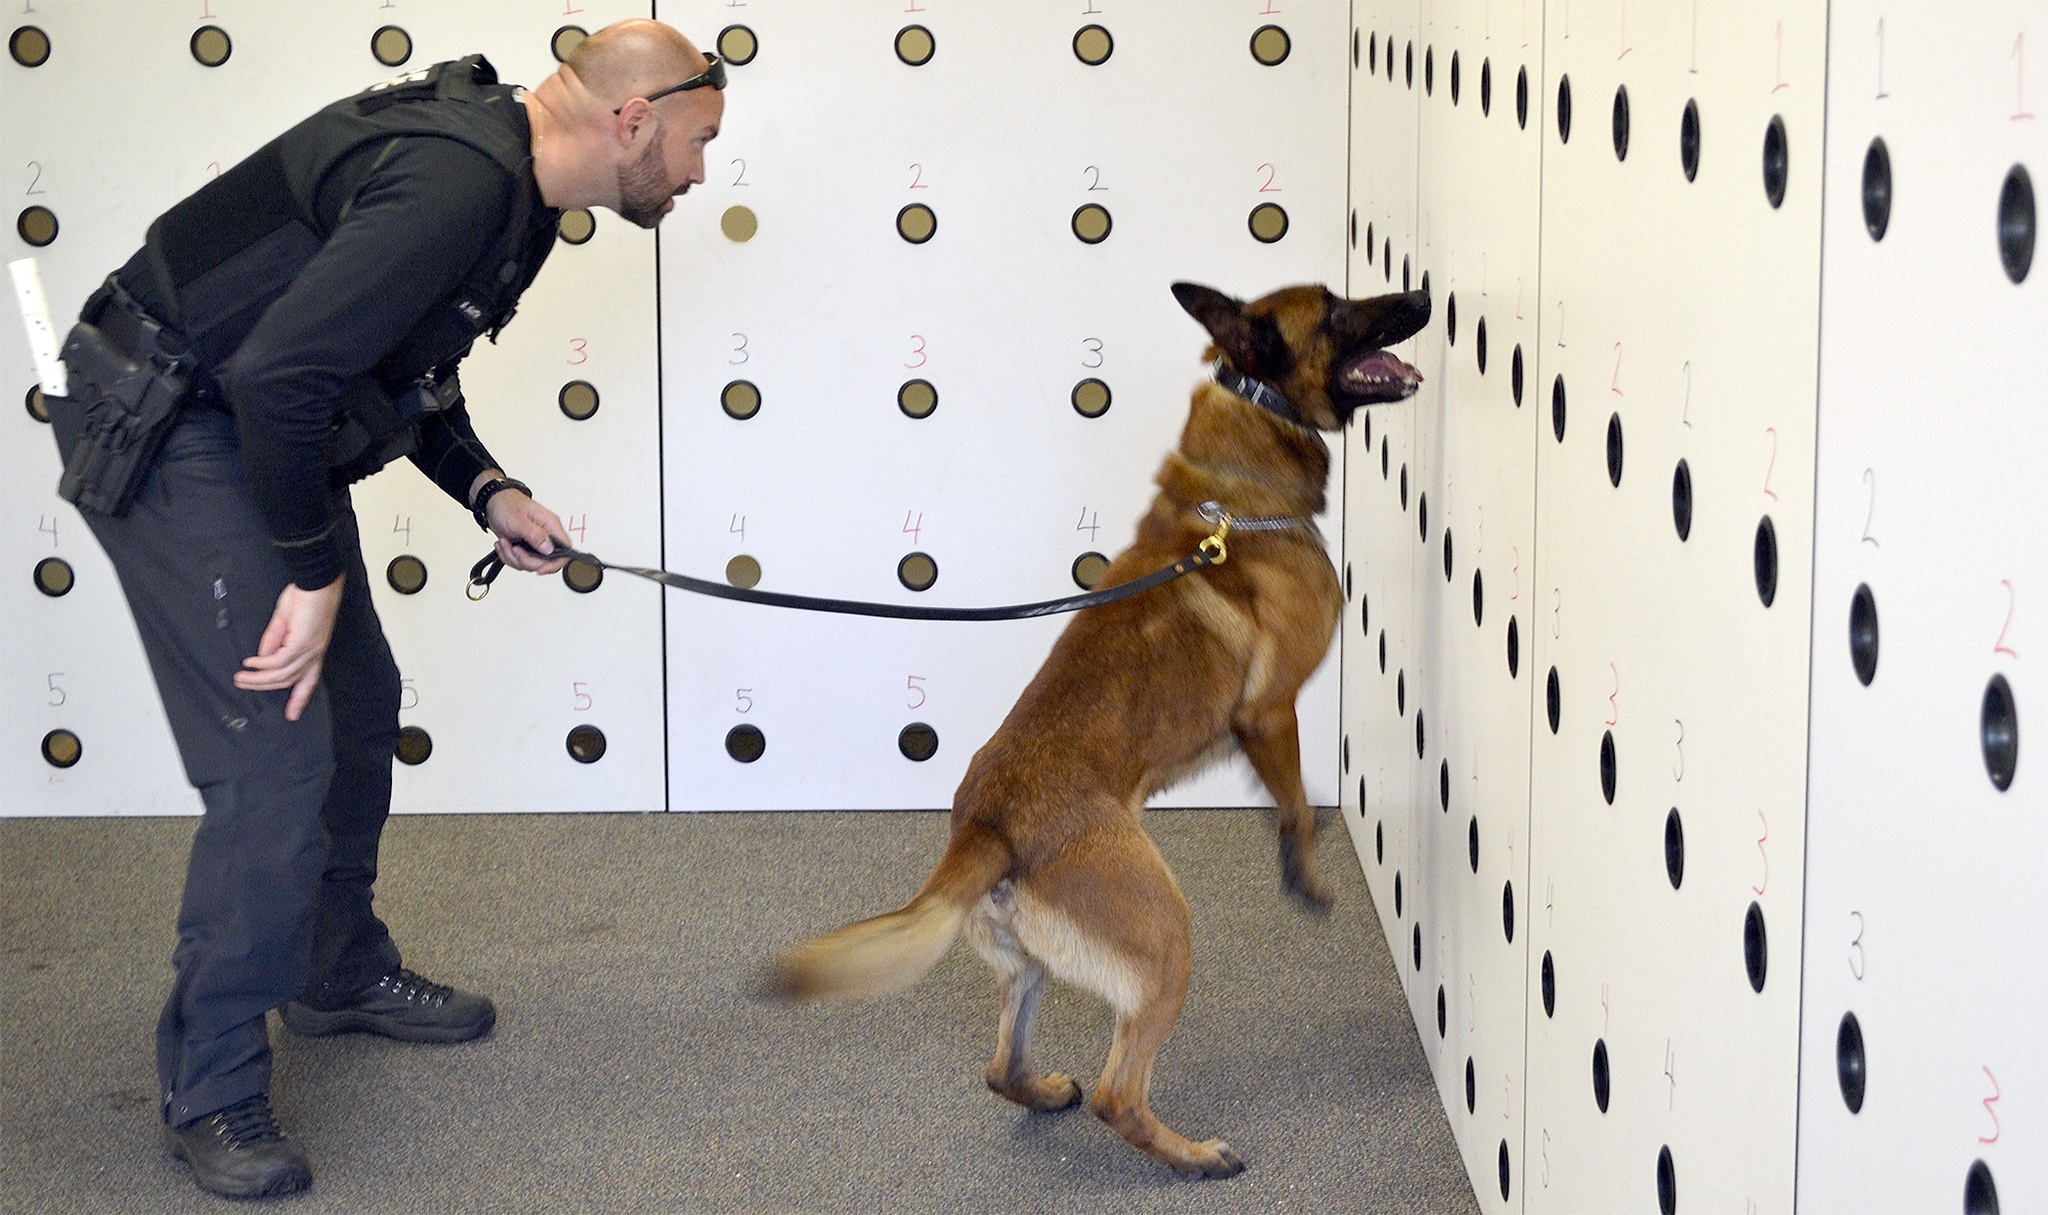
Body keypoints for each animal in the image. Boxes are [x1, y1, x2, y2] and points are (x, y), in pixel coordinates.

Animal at [774, 282, 1433, 1171]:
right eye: (1335, 310)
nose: (1423, 296)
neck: (1233, 501)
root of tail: (985, 826)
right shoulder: (1268, 712)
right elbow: (1295, 800)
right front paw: (1304, 872)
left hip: (1031, 968)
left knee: (1000, 1068)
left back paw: (1046, 1089)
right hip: (1165, 937)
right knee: (1120, 1094)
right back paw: (1194, 1157)